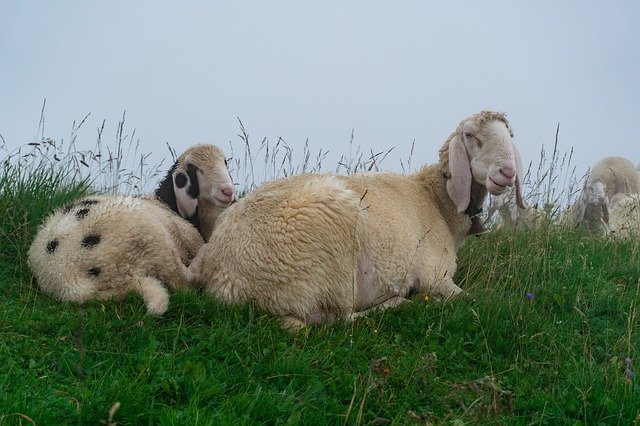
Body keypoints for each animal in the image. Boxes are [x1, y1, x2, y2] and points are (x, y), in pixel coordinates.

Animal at [28, 143, 235, 312]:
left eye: (225, 162)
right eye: (194, 169)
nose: (228, 191)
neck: (167, 204)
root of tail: (69, 283)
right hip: (155, 240)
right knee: (184, 282)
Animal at [189, 110, 524, 330]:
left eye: (511, 136)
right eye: (470, 135)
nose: (507, 172)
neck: (435, 199)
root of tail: (224, 280)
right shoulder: (435, 276)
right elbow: (471, 299)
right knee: (338, 318)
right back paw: (397, 303)